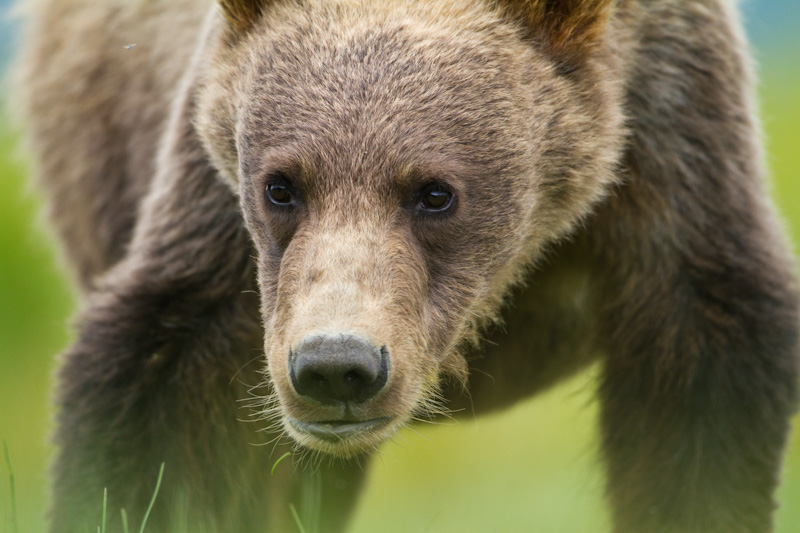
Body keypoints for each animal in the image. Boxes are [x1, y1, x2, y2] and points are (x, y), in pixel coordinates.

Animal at [12, 0, 800, 528]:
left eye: (435, 192)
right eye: (280, 185)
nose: (336, 364)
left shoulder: (674, 135)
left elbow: (698, 389)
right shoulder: (213, 200)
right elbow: (158, 379)